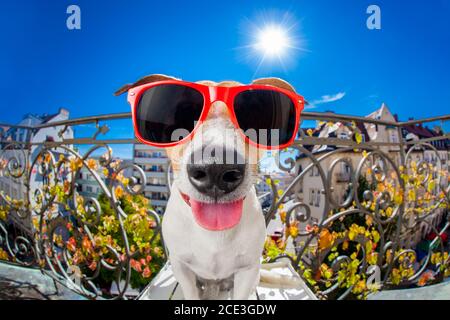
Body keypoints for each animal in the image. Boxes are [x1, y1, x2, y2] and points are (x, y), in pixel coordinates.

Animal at [115, 74, 298, 298]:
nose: (216, 168)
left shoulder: (247, 270)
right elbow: (190, 291)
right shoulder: (181, 266)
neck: (214, 233)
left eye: (256, 114)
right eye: (181, 113)